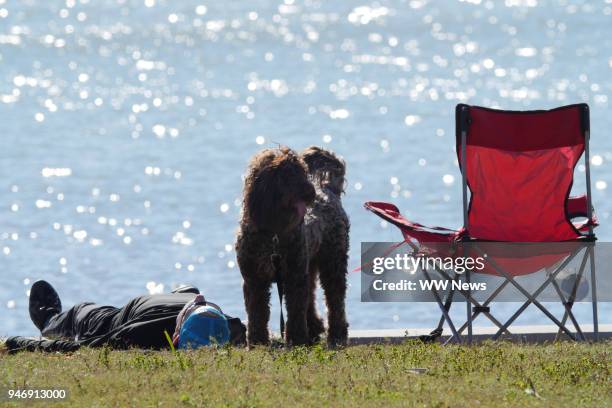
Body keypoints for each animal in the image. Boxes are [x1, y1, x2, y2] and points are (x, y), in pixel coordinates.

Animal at [235, 145, 350, 346]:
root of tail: (327, 189)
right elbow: (256, 312)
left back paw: (337, 334)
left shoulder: (293, 277)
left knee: (335, 299)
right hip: (309, 265)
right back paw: (314, 328)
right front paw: (257, 341)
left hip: (333, 262)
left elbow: (295, 310)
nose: (310, 193)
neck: (272, 232)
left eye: (302, 171)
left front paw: (296, 340)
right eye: (287, 174)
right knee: (311, 296)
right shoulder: (254, 279)